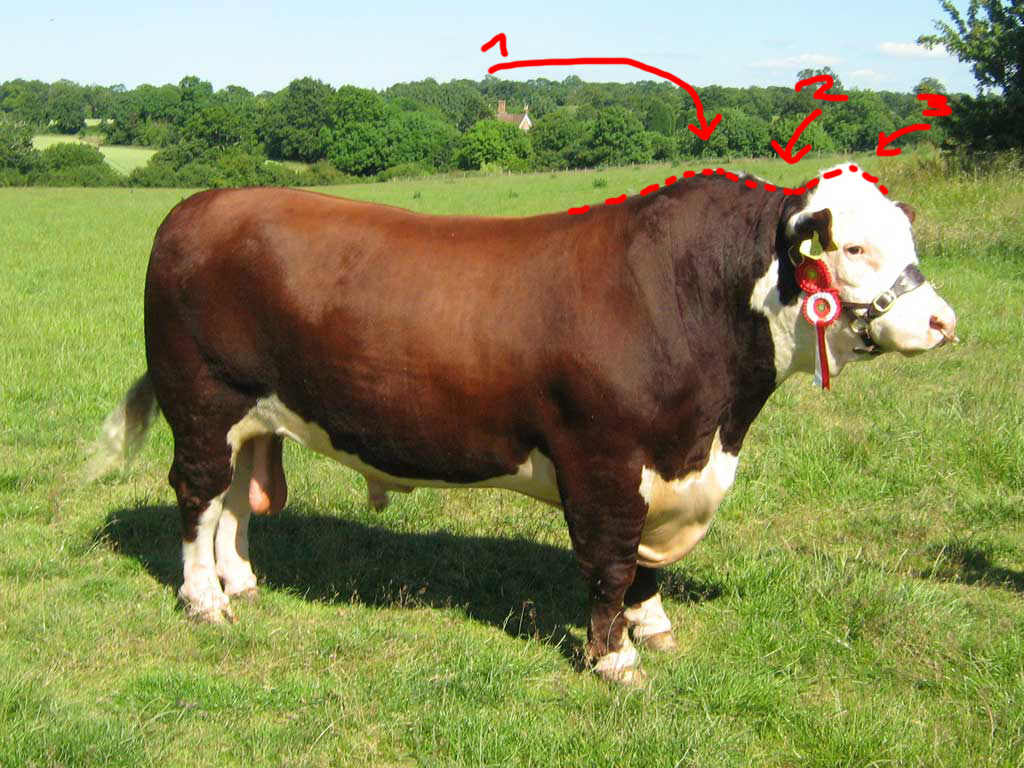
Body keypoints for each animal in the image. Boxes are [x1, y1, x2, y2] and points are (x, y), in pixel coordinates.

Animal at [90, 164, 956, 684]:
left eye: (909, 240)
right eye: (852, 247)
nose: (943, 322)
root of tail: (204, 204)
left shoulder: (662, 467)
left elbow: (643, 568)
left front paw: (654, 627)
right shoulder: (604, 463)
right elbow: (610, 563)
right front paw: (614, 663)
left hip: (254, 411)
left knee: (236, 497)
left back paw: (239, 579)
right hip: (201, 400)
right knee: (197, 495)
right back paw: (205, 600)